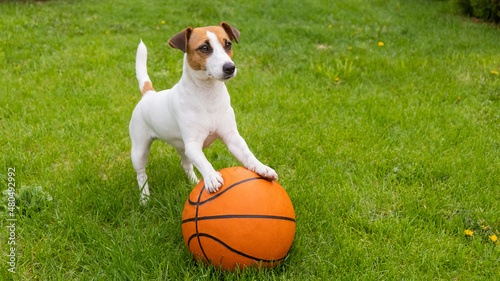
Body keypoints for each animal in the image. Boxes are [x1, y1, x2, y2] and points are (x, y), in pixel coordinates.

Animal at [129, 21, 278, 201]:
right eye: (204, 48)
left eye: (228, 44)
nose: (230, 67)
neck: (208, 96)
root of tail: (149, 94)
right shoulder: (193, 145)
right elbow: (203, 161)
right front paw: (211, 176)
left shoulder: (232, 138)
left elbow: (248, 154)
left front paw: (262, 168)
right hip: (139, 149)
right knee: (141, 175)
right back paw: (145, 199)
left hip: (181, 147)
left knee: (186, 164)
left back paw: (194, 182)